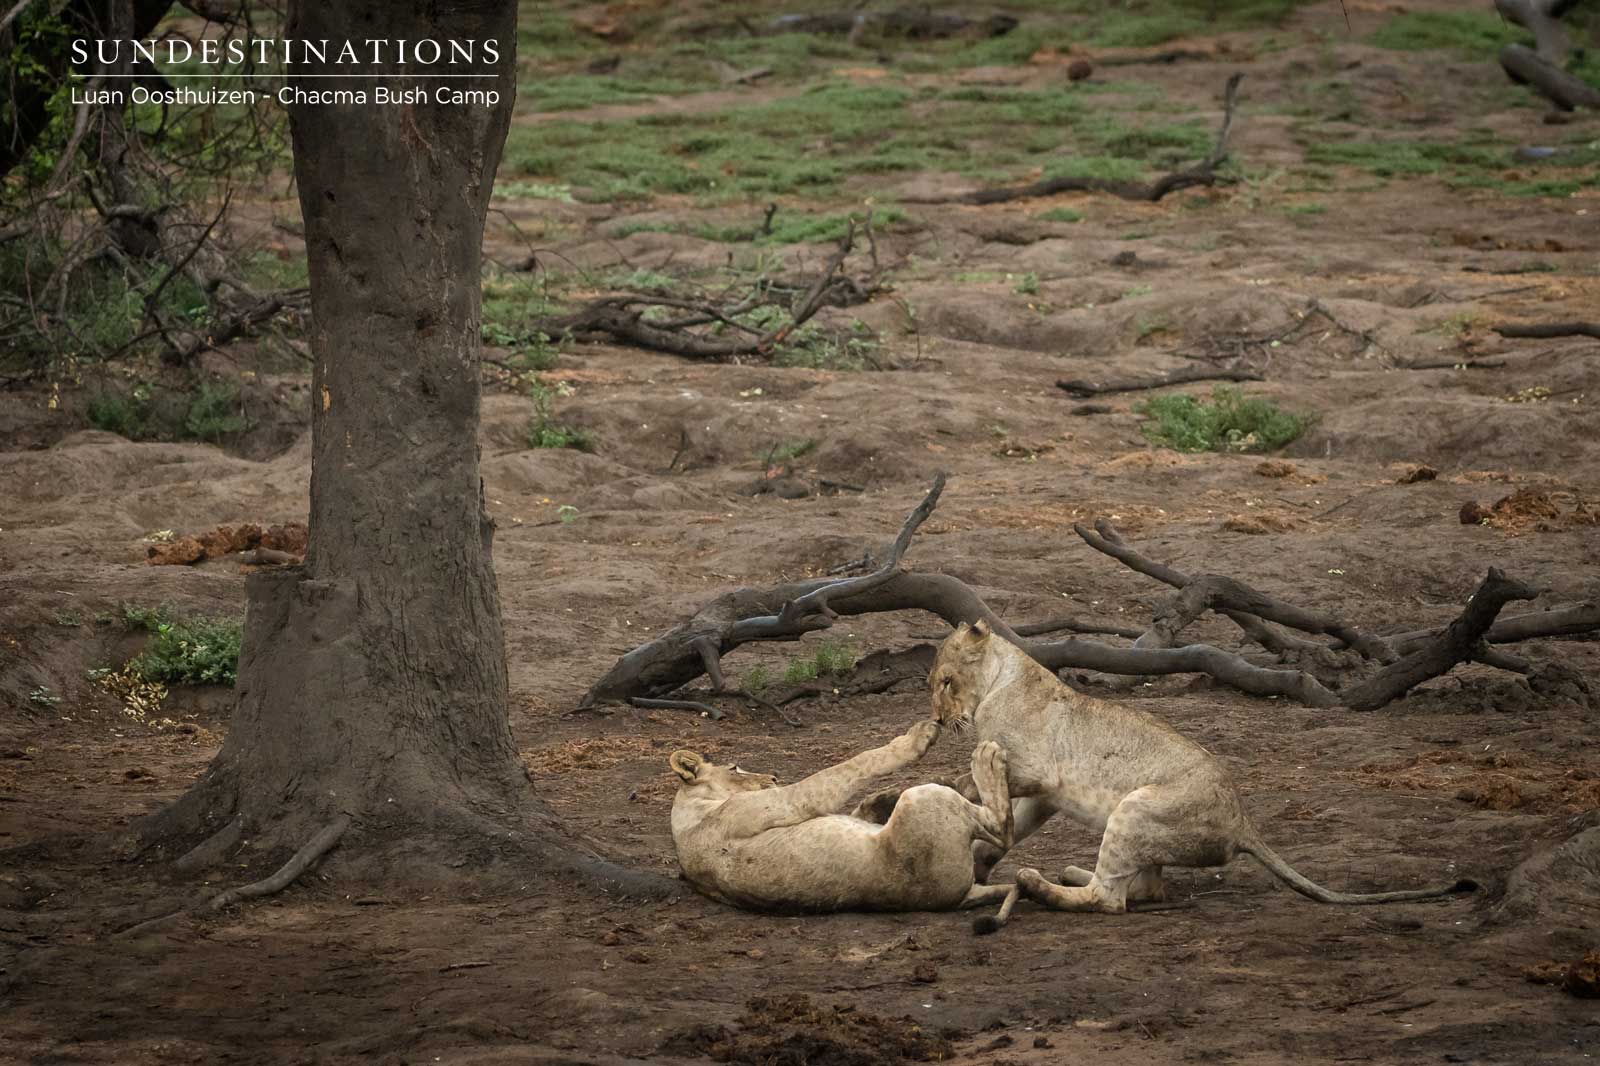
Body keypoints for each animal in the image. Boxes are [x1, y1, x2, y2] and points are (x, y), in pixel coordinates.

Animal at [668, 721, 1022, 920]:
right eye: (734, 769)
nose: (773, 777)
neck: (688, 817)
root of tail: (959, 896)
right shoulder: (773, 805)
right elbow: (848, 767)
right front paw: (917, 738)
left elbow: (862, 803)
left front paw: (884, 797)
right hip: (923, 800)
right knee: (1001, 828)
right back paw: (986, 760)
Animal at [929, 621, 1478, 914]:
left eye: (945, 682)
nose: (936, 719)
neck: (999, 678)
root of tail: (1243, 822)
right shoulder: (1044, 795)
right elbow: (1011, 822)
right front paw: (980, 861)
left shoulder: (1041, 772)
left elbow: (974, 780)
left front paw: (944, 786)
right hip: (1141, 829)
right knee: (1146, 887)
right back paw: (1068, 871)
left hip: (1136, 808)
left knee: (1110, 898)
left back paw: (1040, 884)